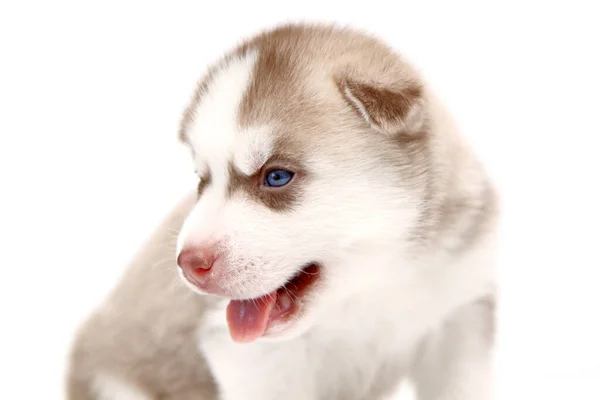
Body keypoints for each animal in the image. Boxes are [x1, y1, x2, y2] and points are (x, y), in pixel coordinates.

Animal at [65, 22, 500, 400]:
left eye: (276, 176)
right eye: (202, 180)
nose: (189, 264)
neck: (375, 283)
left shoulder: (462, 316)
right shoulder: (251, 358)